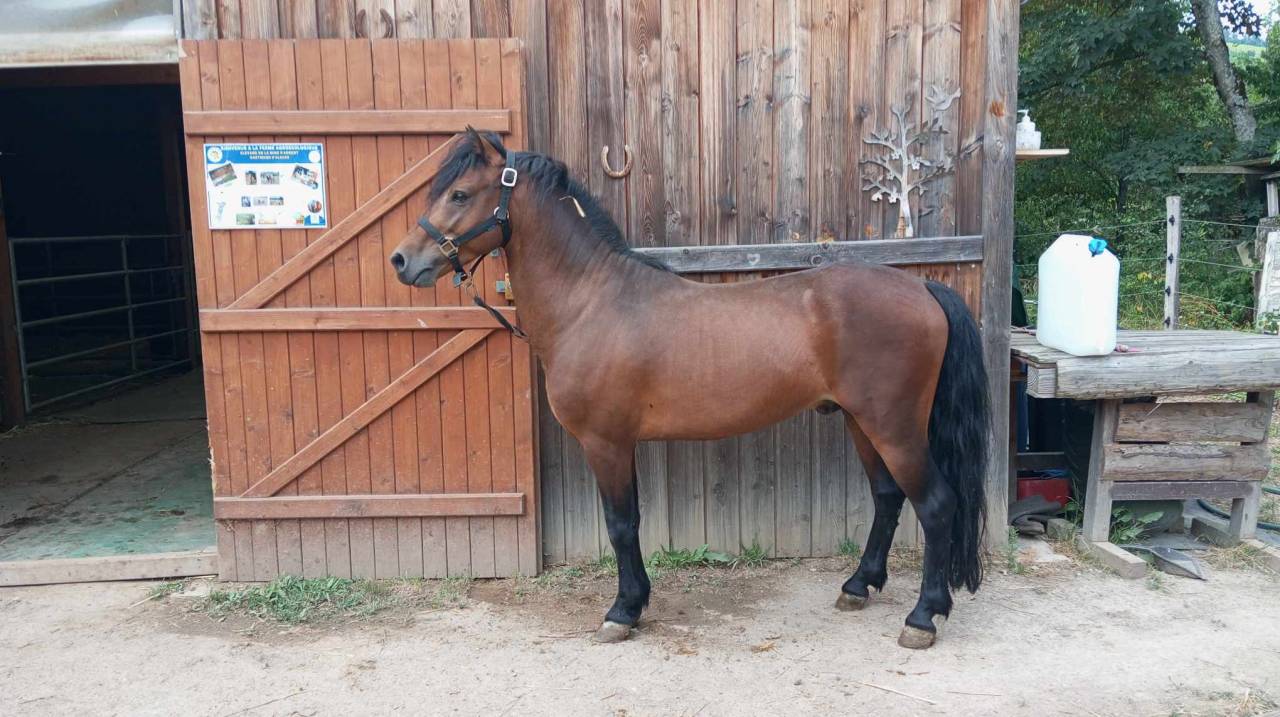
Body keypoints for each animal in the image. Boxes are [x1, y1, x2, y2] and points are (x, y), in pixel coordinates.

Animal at [390, 129, 990, 650]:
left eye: (460, 193)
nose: (402, 260)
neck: (591, 301)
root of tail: (922, 288)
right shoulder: (620, 444)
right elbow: (631, 522)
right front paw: (636, 603)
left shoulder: (605, 443)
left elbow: (620, 524)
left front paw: (622, 611)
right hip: (860, 422)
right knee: (888, 498)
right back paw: (858, 586)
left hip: (894, 428)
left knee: (936, 505)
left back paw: (922, 617)